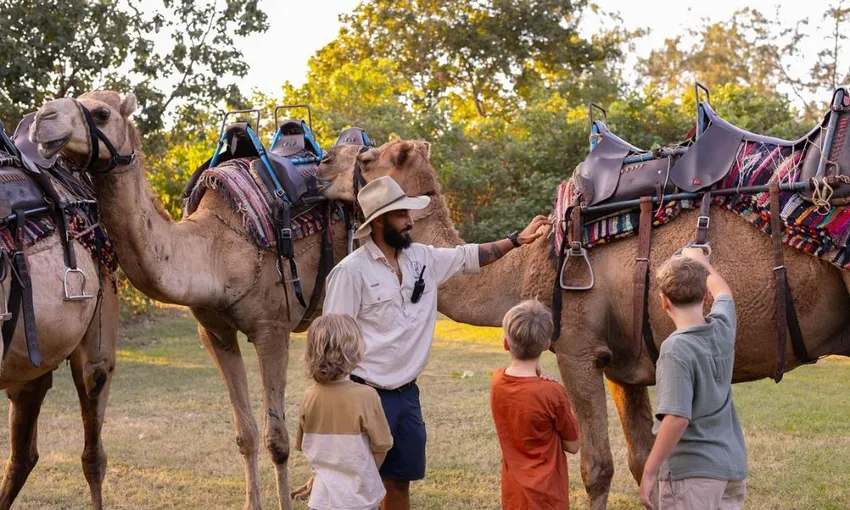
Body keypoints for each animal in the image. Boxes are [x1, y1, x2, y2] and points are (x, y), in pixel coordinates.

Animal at [30, 91, 362, 510]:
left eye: (102, 113)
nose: (42, 118)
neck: (216, 247)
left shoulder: (272, 329)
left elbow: (278, 440)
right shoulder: (214, 331)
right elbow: (245, 433)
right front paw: (253, 503)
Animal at [316, 138, 850, 509]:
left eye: (368, 158)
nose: (321, 165)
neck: (528, 266)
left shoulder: (576, 349)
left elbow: (597, 467)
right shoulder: (626, 364)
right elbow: (642, 461)